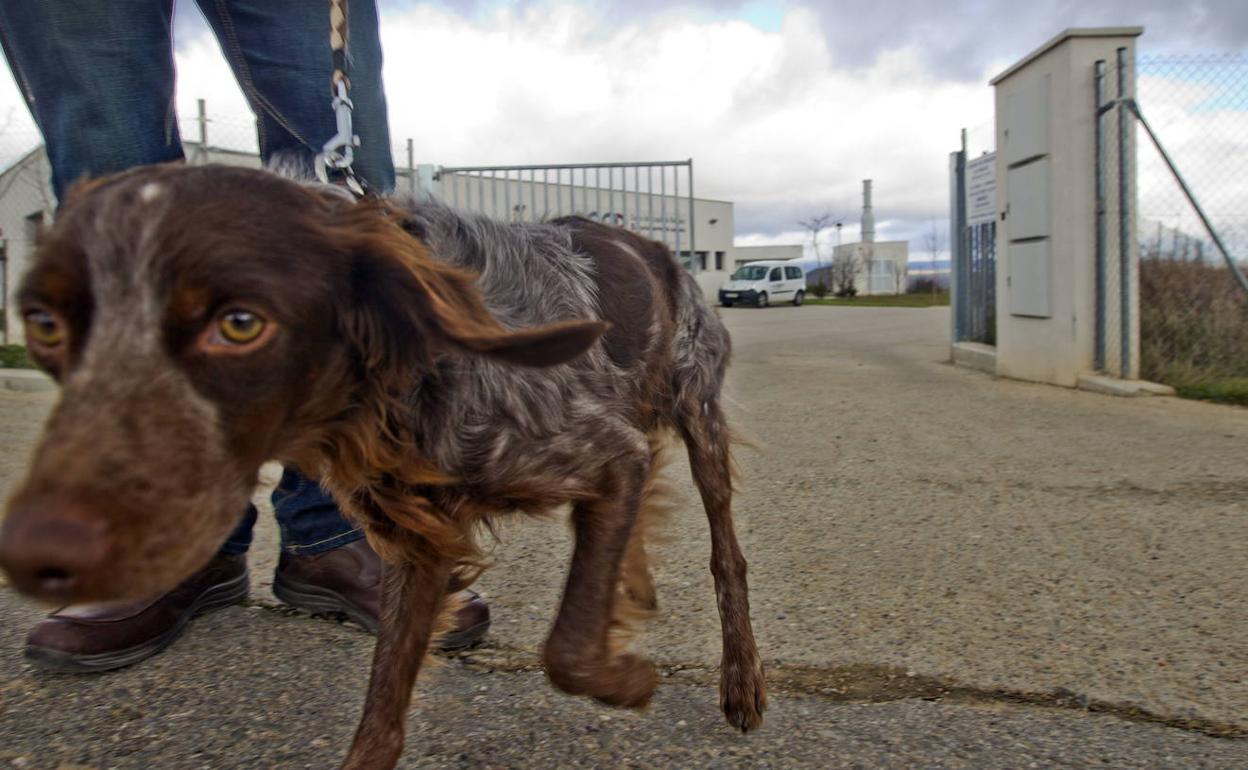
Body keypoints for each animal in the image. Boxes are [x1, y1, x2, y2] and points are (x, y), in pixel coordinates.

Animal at [0, 163, 758, 768]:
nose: (39, 553)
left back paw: (741, 679)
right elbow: (382, 710)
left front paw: (627, 680)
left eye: (241, 323)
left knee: (726, 557)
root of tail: (652, 243)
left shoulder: (606, 452)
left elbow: (566, 648)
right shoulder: (418, 545)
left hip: (699, 418)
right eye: (44, 324)